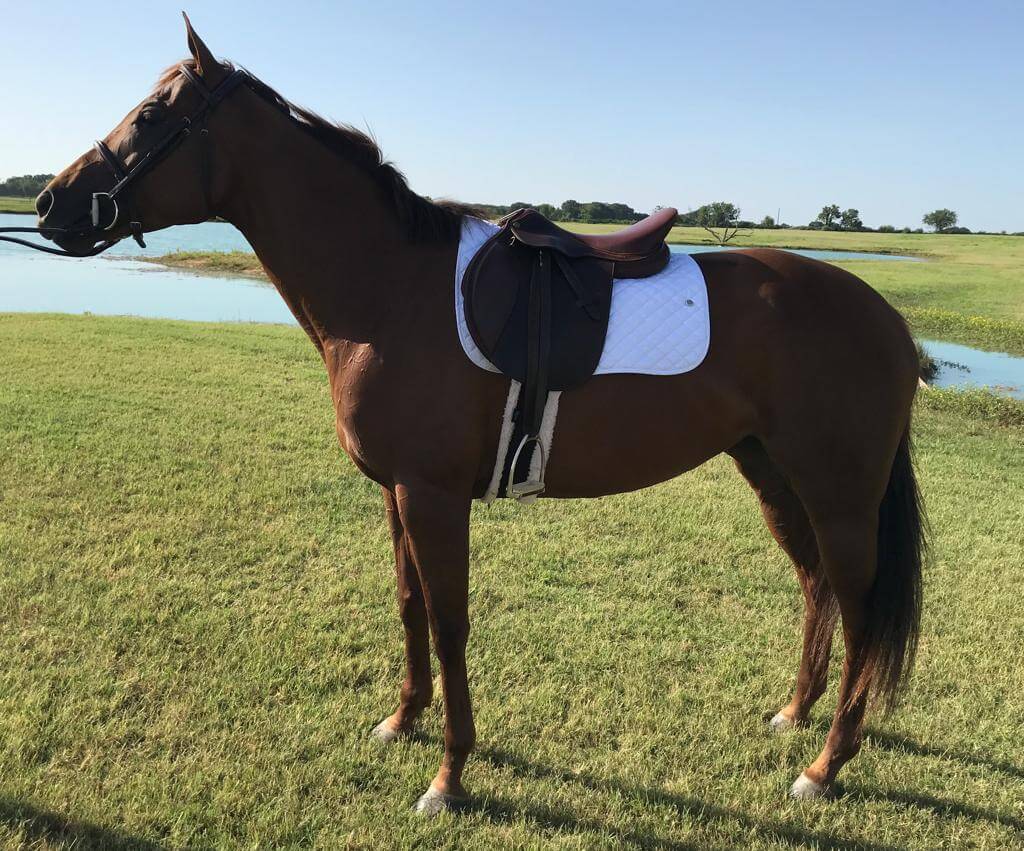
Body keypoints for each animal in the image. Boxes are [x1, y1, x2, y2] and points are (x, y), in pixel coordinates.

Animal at [34, 16, 925, 814]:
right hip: (772, 474)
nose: (49, 204)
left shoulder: (432, 496)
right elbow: (409, 605)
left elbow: (450, 620)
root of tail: (886, 317)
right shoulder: (395, 491)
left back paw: (825, 764)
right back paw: (795, 713)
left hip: (839, 496)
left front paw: (449, 774)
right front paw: (402, 720)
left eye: (153, 116)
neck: (391, 288)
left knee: (857, 608)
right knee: (818, 589)